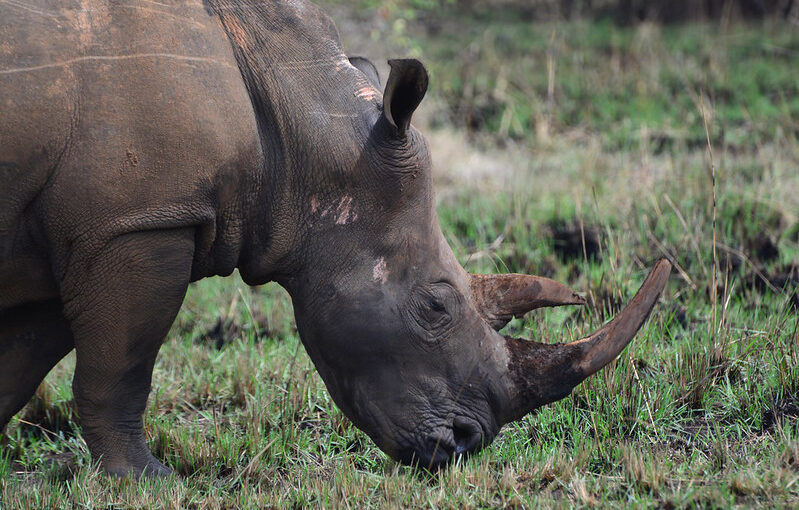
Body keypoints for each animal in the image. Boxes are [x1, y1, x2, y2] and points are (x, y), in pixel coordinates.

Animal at [0, 0, 672, 476]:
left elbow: (24, 359)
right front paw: (146, 482)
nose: (464, 444)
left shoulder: (80, 231)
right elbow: (121, 367)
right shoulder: (141, 221)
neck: (305, 127)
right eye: (435, 306)